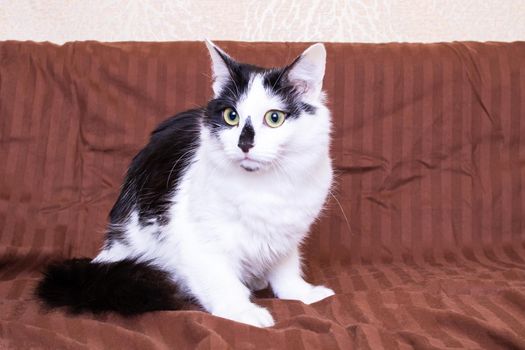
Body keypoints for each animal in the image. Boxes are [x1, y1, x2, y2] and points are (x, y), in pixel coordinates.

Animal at [35, 41, 332, 328]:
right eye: (231, 116)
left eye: (274, 118)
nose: (244, 144)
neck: (264, 186)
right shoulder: (199, 240)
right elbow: (222, 280)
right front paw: (241, 310)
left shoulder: (287, 236)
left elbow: (287, 269)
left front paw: (301, 293)